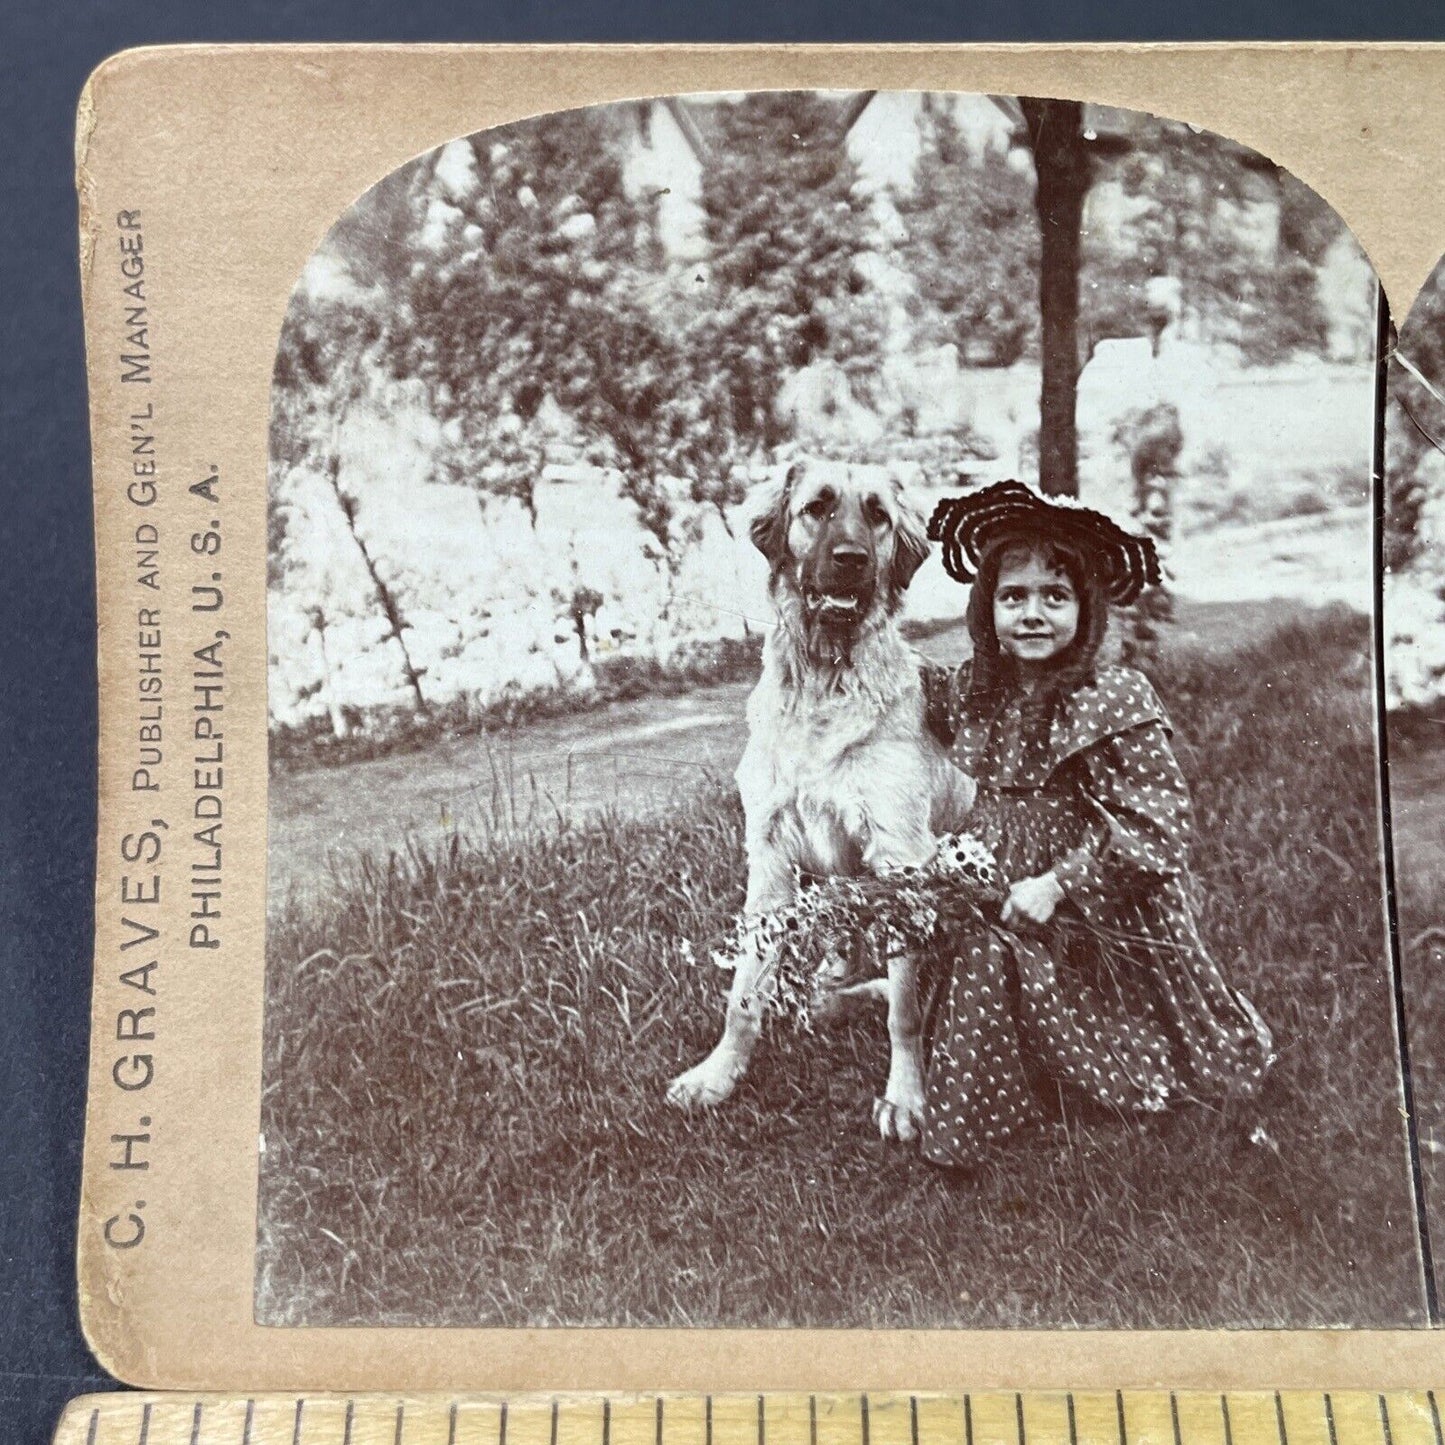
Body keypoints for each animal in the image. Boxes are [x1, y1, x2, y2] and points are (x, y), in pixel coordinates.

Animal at [664, 456, 971, 1132]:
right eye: (817, 507)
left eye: (877, 515)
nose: (852, 558)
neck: (825, 682)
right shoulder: (771, 860)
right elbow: (743, 993)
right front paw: (718, 1074)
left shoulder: (901, 861)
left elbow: (905, 1010)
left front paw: (906, 1096)